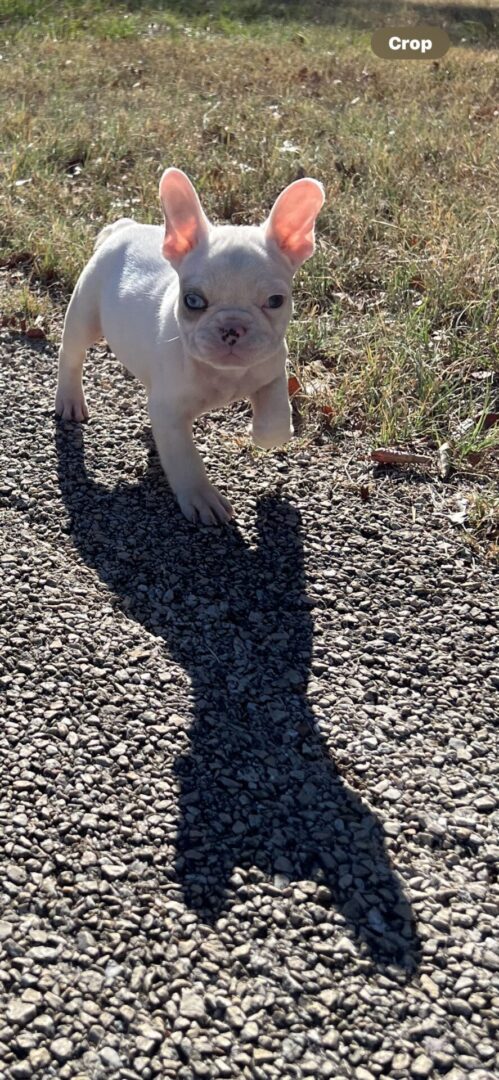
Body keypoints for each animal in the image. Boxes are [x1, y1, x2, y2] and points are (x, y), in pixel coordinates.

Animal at [55, 166, 324, 524]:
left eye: (276, 301)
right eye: (193, 301)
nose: (232, 327)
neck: (224, 374)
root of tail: (125, 228)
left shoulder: (271, 370)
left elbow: (276, 419)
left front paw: (264, 435)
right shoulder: (170, 415)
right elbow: (184, 458)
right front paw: (201, 496)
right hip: (85, 313)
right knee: (71, 354)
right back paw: (70, 398)